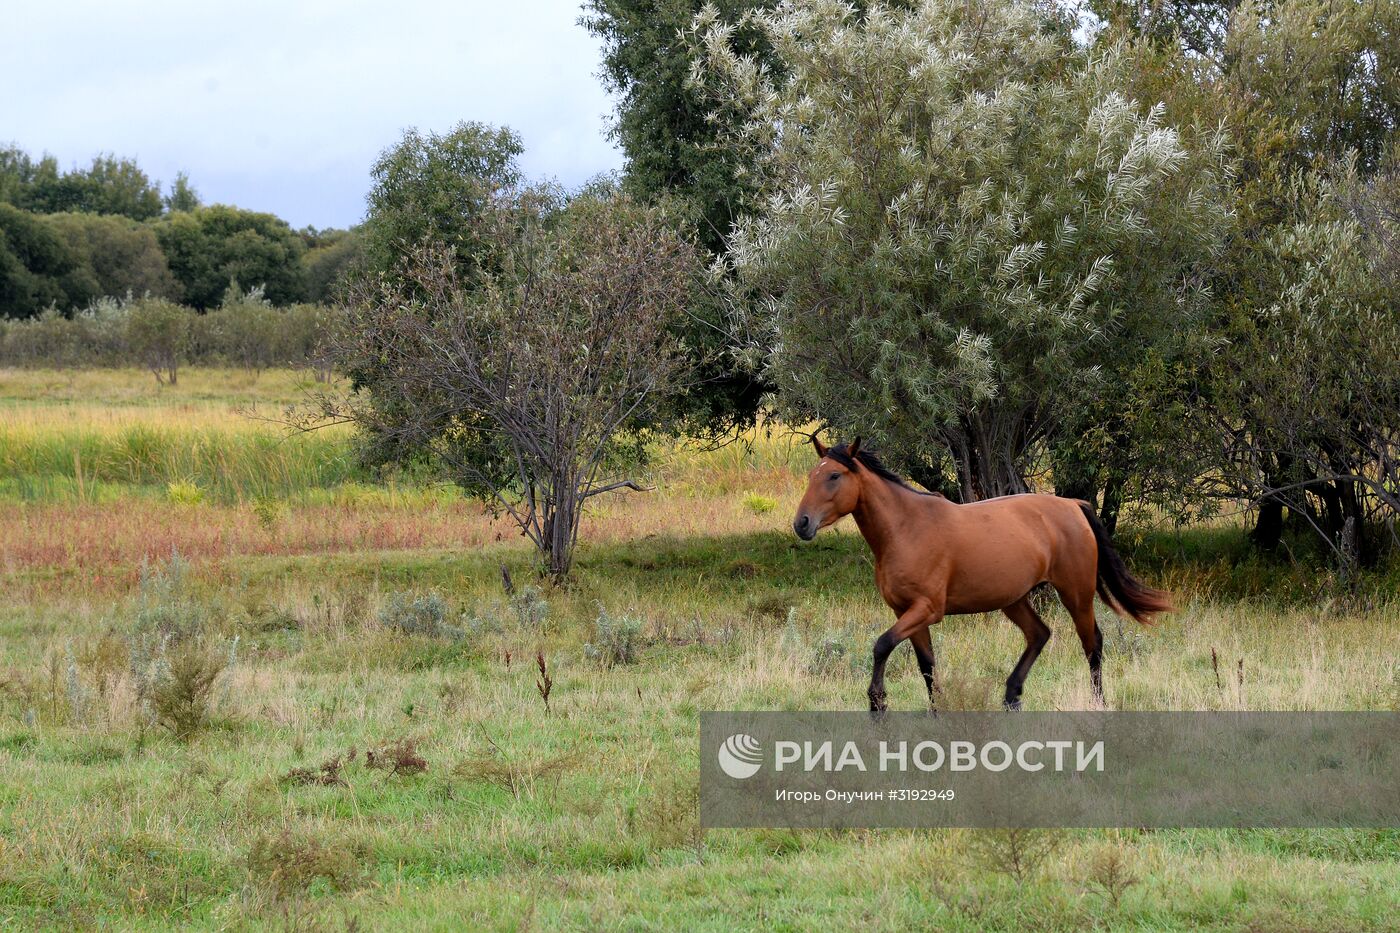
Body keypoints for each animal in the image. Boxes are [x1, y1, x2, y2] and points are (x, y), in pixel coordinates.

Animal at [789, 434, 1170, 706]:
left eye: (834, 475)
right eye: (811, 476)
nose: (801, 524)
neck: (906, 528)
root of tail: (1073, 505)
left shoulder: (927, 609)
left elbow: (882, 645)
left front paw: (878, 704)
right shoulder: (906, 612)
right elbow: (927, 667)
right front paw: (935, 713)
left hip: (1076, 593)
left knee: (1092, 643)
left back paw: (1097, 702)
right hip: (1014, 599)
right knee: (1039, 634)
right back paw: (1012, 696)